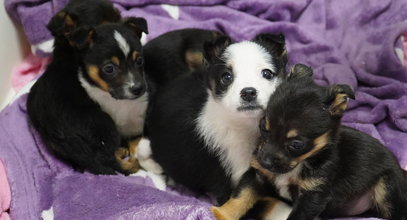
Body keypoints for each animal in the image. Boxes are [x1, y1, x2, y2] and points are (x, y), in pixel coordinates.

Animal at [212, 64, 406, 220]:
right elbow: (240, 196)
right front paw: (221, 214)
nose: (264, 162)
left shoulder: (312, 195)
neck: (299, 164)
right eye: (263, 127)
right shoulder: (258, 175)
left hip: (386, 187)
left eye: (297, 144)